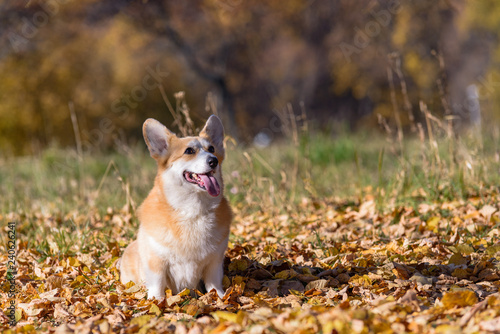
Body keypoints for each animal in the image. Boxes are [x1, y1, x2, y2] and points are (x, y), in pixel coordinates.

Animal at [120, 116, 231, 298]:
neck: (192, 211)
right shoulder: (157, 262)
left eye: (212, 149)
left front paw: (222, 297)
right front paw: (156, 301)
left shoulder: (214, 261)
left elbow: (214, 283)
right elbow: (157, 285)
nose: (213, 161)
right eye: (189, 151)